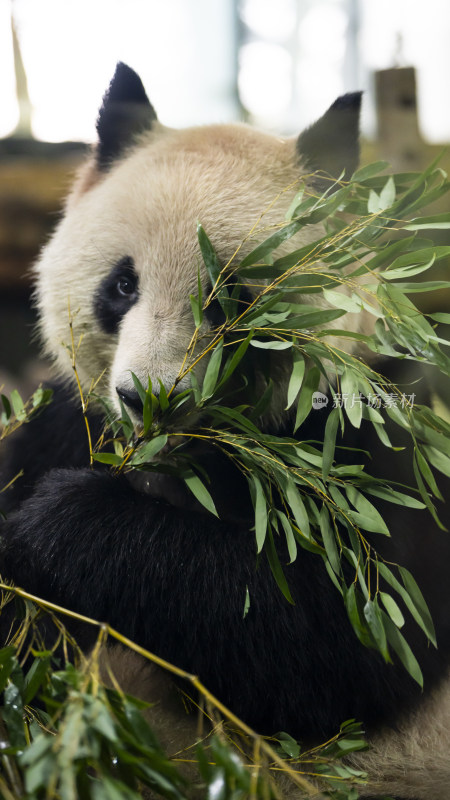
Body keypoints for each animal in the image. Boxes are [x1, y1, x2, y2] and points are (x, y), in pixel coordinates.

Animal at [0, 64, 450, 800]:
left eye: (233, 296)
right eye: (121, 286)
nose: (149, 400)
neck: (184, 462)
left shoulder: (372, 442)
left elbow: (342, 641)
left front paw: (63, 520)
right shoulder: (69, 422)